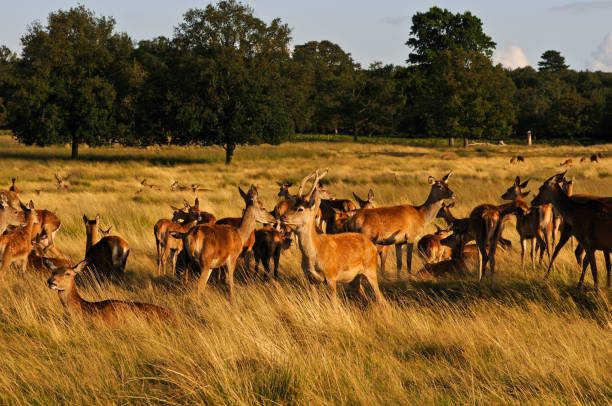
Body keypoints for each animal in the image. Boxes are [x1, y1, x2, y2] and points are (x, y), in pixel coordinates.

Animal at [280, 168, 384, 304]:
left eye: (300, 208)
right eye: (292, 205)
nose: (282, 217)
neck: (314, 253)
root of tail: (372, 246)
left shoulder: (331, 277)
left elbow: (334, 304)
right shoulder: (311, 280)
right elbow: (316, 303)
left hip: (371, 270)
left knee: (381, 299)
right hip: (354, 279)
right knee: (366, 298)